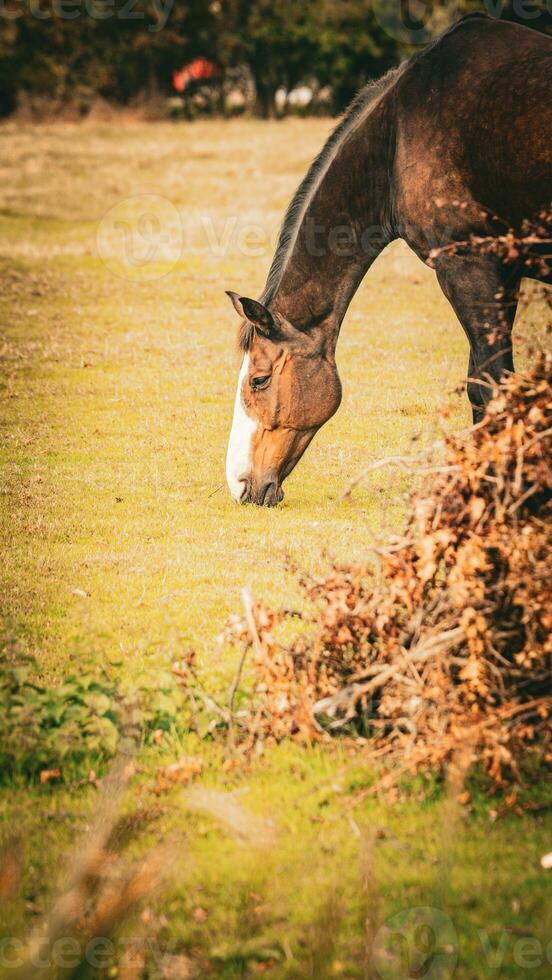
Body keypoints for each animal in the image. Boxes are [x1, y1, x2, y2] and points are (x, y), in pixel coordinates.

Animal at [225, 13, 552, 506]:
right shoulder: (504, 274)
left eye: (259, 381)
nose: (239, 485)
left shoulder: (470, 268)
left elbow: (489, 386)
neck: (395, 138)